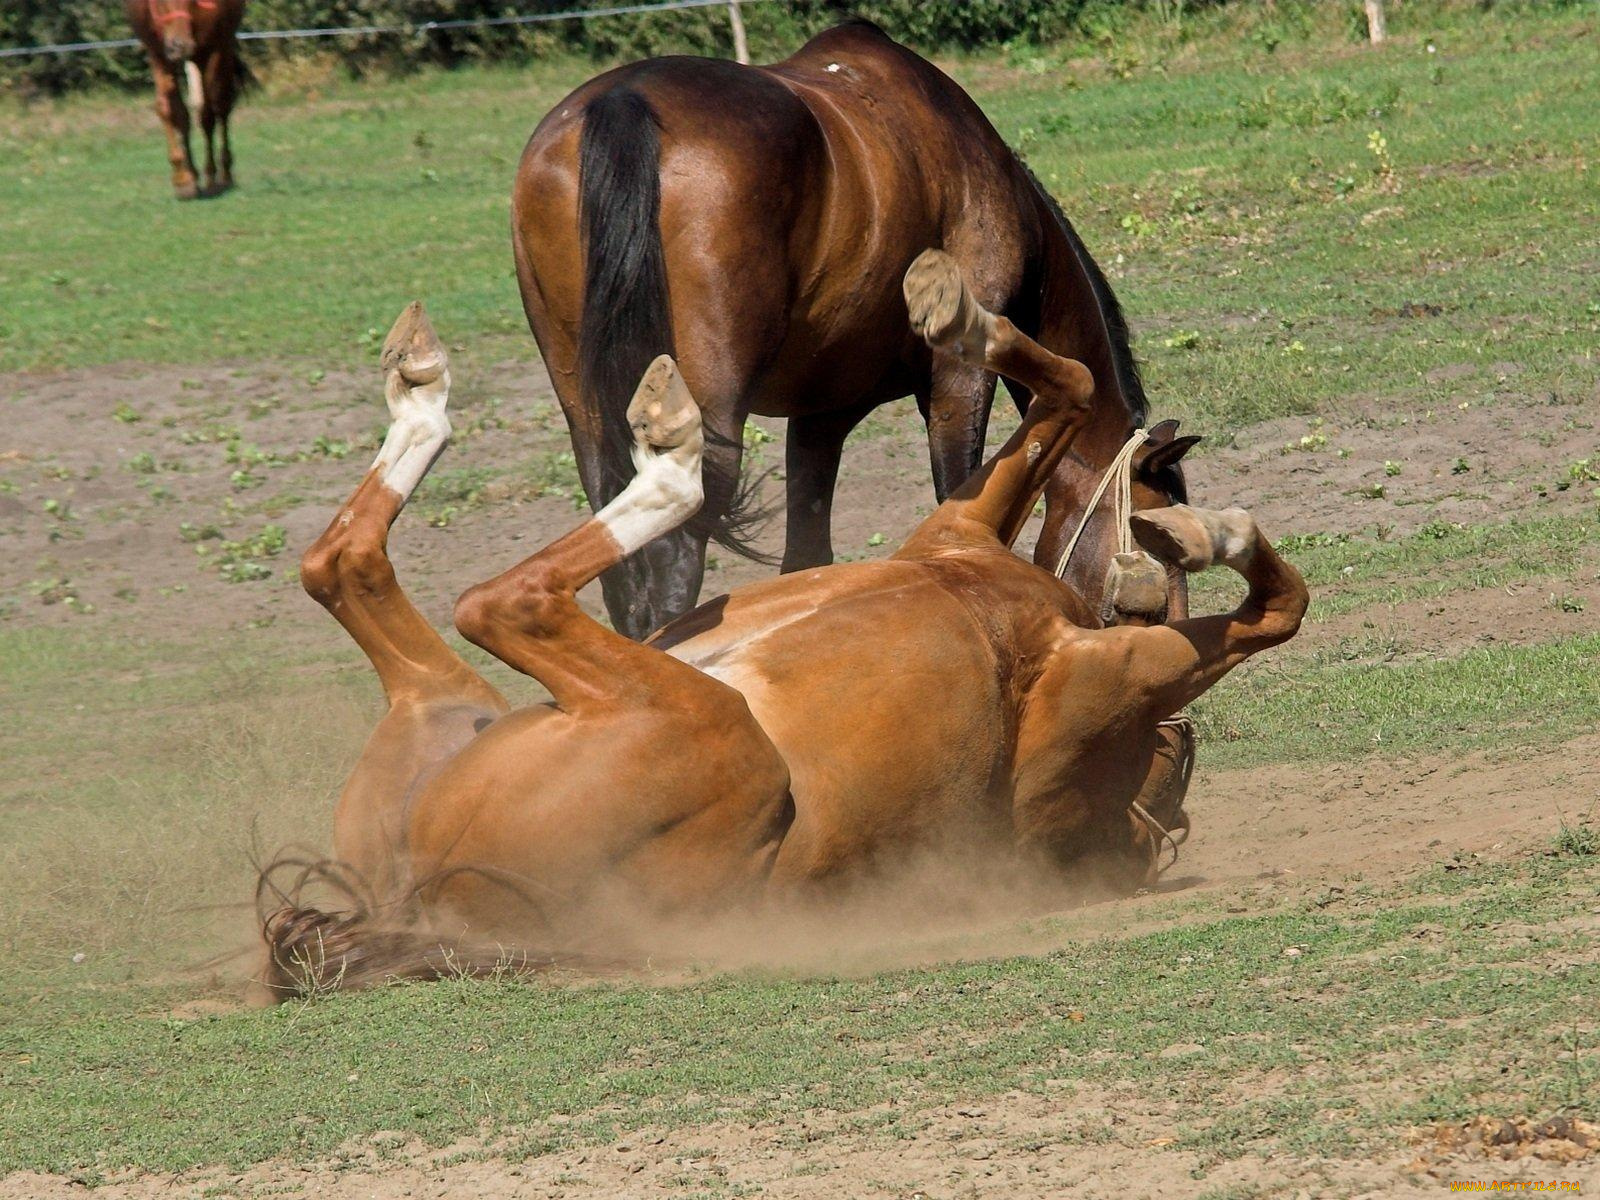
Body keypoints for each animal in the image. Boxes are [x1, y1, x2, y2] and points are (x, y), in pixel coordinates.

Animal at [126, 0, 243, 200]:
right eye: (158, 2)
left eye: (191, 1)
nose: (180, 45)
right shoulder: (158, 54)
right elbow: (171, 112)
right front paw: (183, 179)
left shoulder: (210, 51)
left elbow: (207, 115)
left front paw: (210, 177)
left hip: (223, 48)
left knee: (222, 106)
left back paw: (224, 175)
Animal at [515, 16, 1203, 640]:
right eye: (1154, 541)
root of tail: (624, 101)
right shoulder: (958, 382)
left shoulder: (819, 416)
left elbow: (806, 555)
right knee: (672, 564)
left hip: (589, 415)